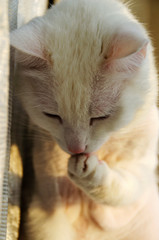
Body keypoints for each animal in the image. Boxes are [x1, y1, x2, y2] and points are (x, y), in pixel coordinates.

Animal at [10, 0, 159, 239]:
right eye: (52, 115)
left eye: (101, 116)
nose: (77, 148)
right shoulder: (49, 209)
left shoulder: (141, 170)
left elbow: (120, 189)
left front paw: (90, 173)